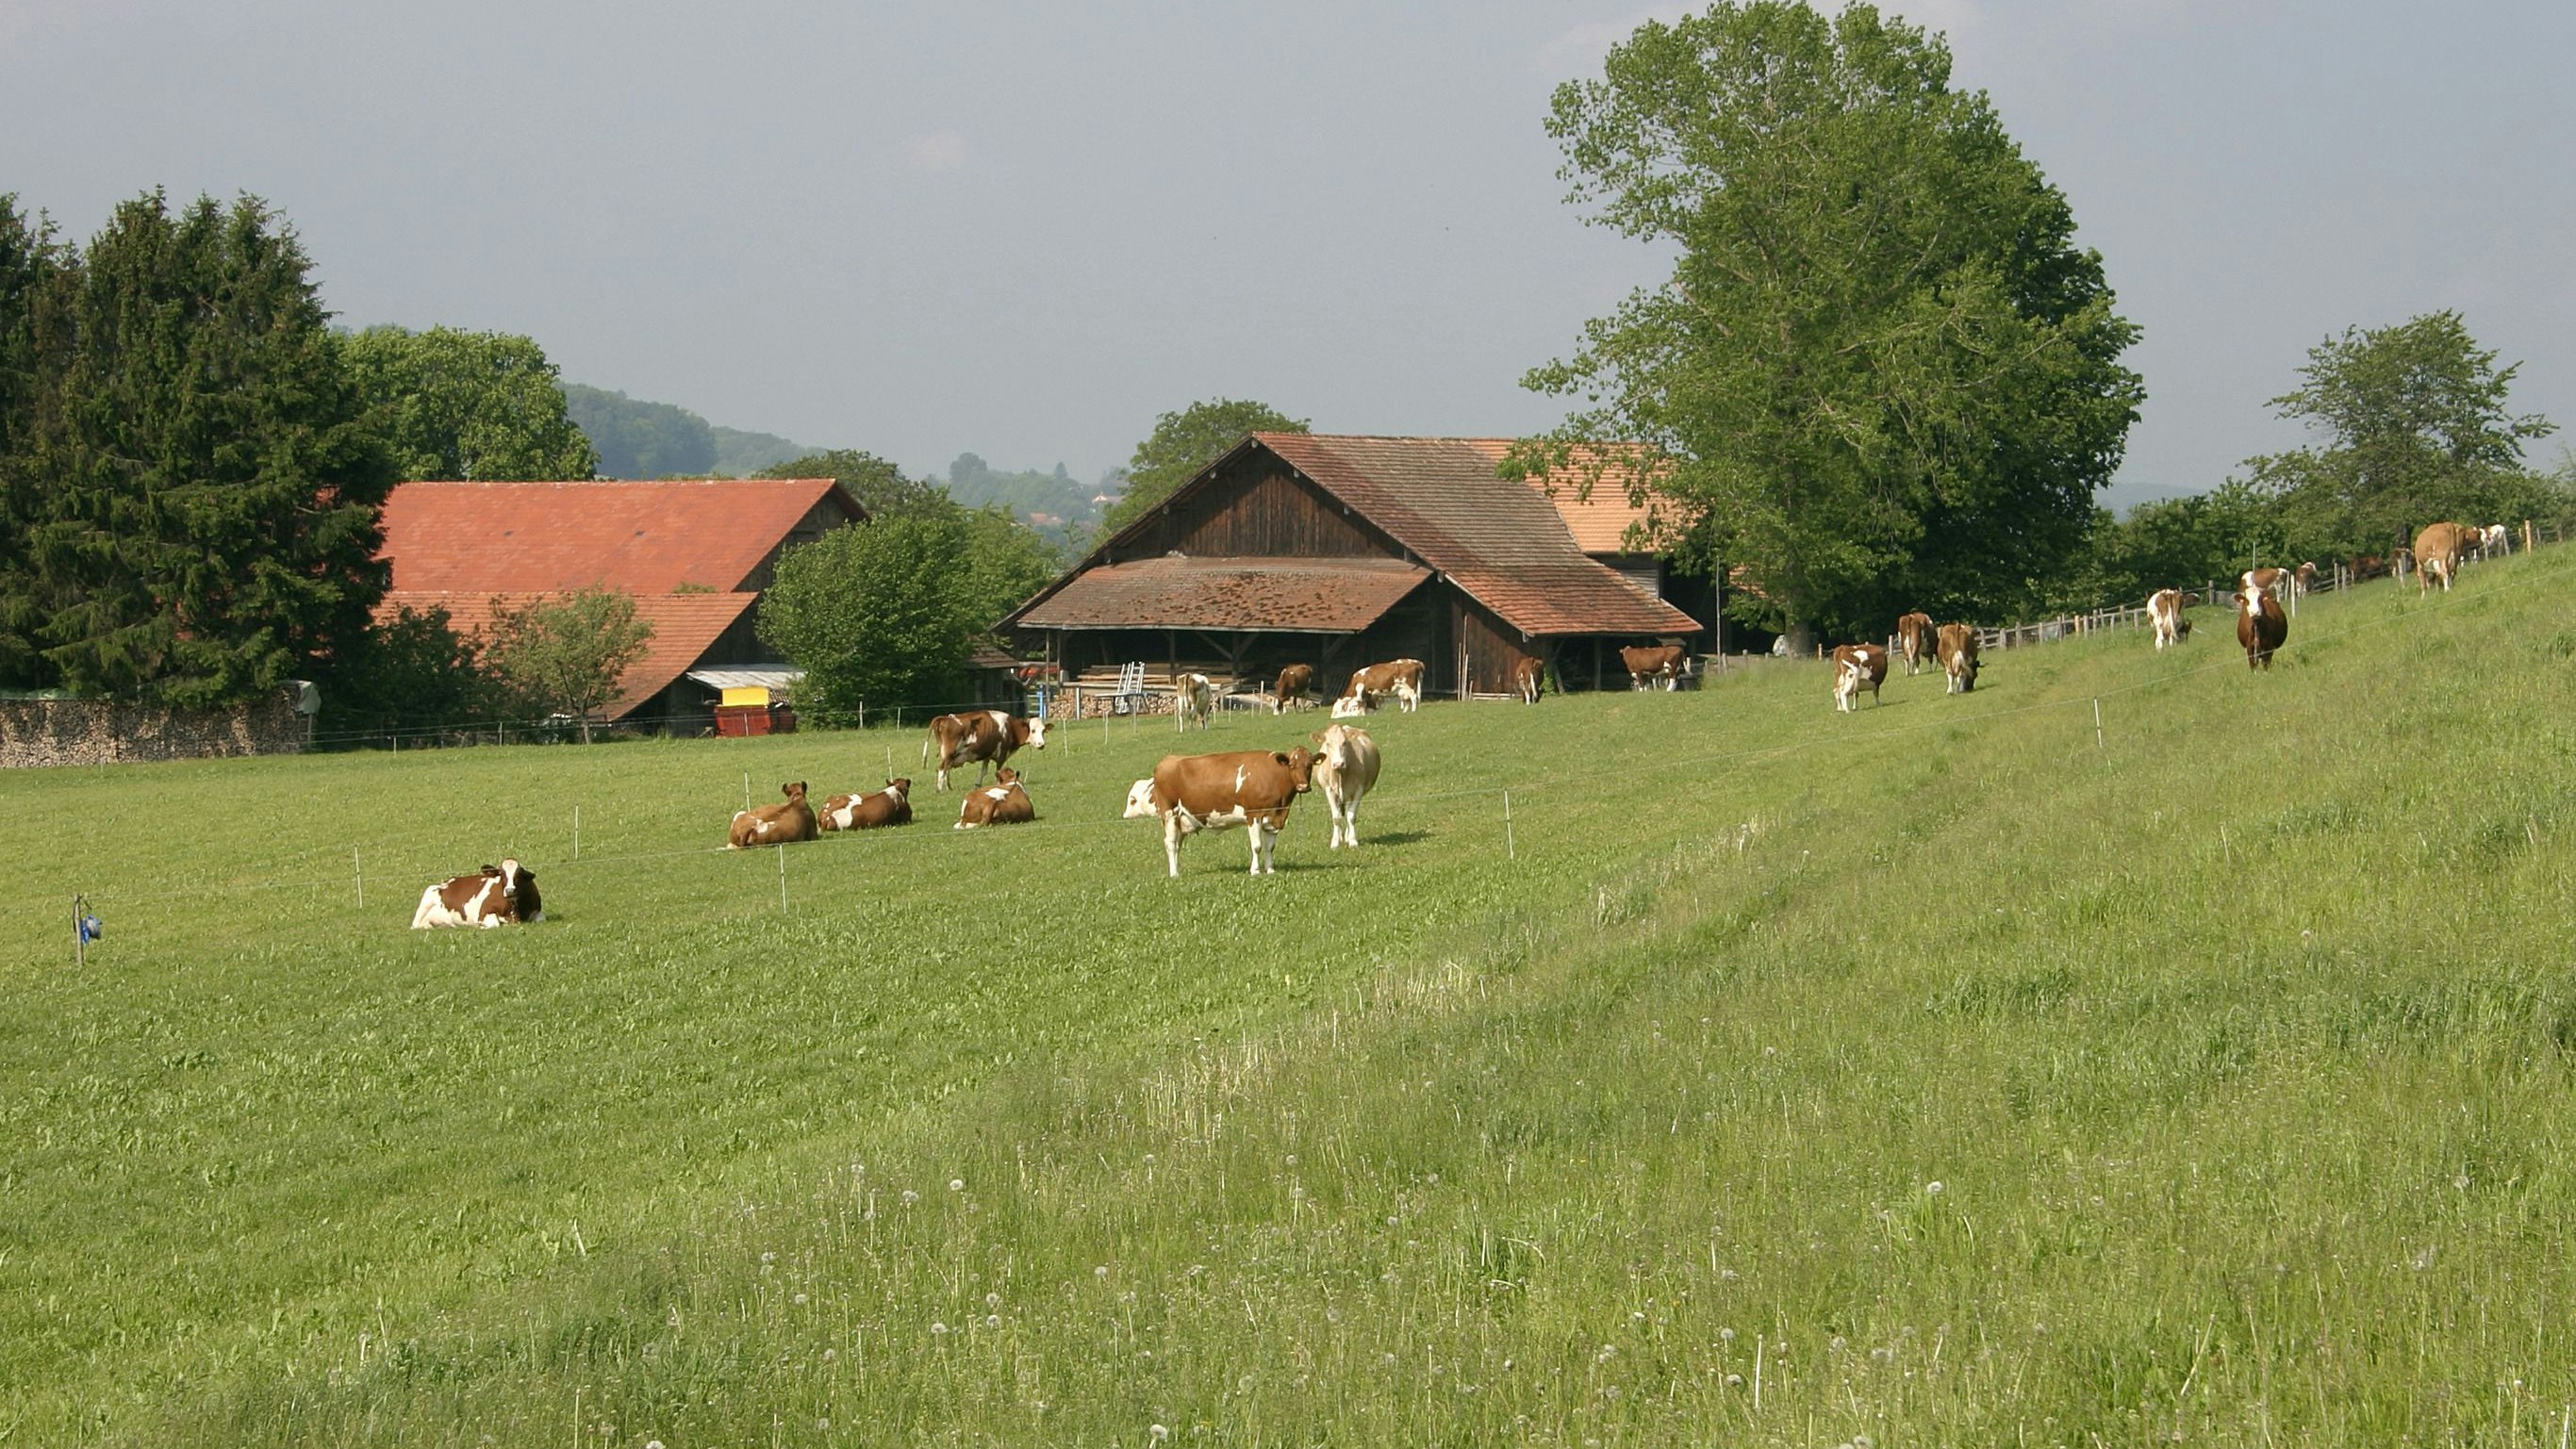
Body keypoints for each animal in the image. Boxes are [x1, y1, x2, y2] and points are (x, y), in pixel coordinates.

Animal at [406, 854, 543, 936]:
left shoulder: (537, 911)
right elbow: (495, 924)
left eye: (518, 874)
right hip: (425, 903)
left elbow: (540, 919)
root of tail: (447, 881)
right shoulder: (482, 914)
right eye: (501, 874)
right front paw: (479, 927)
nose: (510, 891)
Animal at [922, 705, 1050, 787]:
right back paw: (941, 790)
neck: (1010, 727)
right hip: (949, 754)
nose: (1042, 744)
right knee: (942, 769)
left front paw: (978, 785)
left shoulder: (987, 756)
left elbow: (983, 772)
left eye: (1043, 731)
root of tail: (945, 718)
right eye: (1033, 730)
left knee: (944, 770)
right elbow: (998, 772)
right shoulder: (1001, 755)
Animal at [1128, 746, 1318, 875]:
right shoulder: (1253, 815)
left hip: (1181, 819)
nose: (1303, 786)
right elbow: (1257, 846)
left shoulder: (1274, 817)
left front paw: (1270, 870)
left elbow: (1270, 847)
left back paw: (1178, 869)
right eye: (1291, 765)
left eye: (1309, 765)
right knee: (1170, 843)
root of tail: (1168, 760)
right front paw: (1255, 871)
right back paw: (1174, 874)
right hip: (1169, 813)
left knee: (1177, 844)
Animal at [1318, 725, 1380, 848]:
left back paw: (1346, 836)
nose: (1338, 764)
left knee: (1347, 813)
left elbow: (1351, 816)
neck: (1341, 773)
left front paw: (1352, 840)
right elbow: (1336, 817)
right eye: (1328, 744)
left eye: (1345, 743)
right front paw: (1335, 842)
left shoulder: (1358, 790)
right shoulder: (1329, 791)